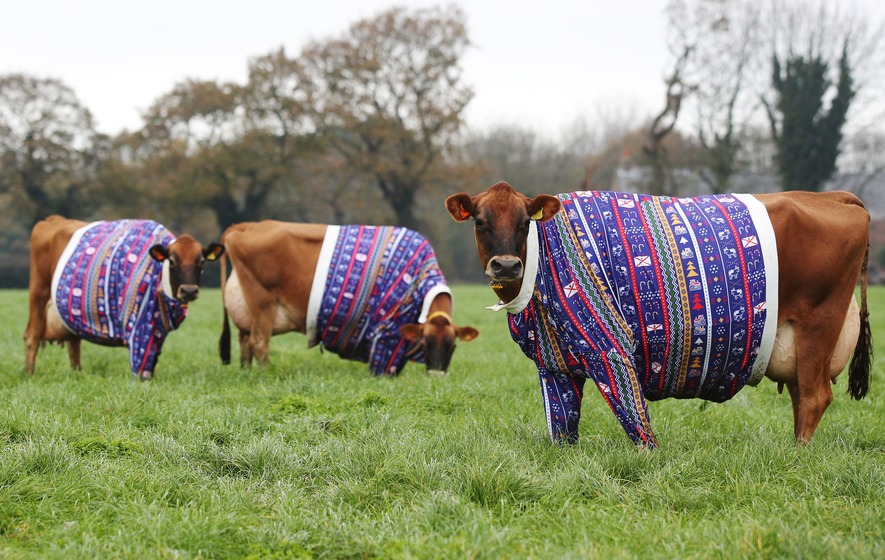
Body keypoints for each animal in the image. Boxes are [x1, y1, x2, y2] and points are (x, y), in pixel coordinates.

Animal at [24, 216, 225, 380]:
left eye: (202, 262)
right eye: (172, 262)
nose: (189, 291)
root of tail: (53, 219)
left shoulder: (158, 329)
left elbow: (153, 358)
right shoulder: (138, 324)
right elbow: (140, 362)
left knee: (74, 343)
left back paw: (77, 374)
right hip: (38, 293)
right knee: (32, 336)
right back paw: (29, 375)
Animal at [218, 221, 479, 376]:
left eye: (452, 346)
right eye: (424, 344)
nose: (436, 376)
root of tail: (245, 226)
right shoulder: (386, 332)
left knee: (245, 342)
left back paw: (246, 372)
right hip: (262, 303)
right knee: (259, 343)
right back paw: (265, 373)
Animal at [445, 182, 871, 447]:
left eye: (524, 222)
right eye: (480, 222)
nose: (505, 266)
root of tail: (835, 197)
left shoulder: (611, 345)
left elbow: (636, 419)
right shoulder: (553, 364)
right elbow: (562, 429)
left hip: (819, 322)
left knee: (814, 396)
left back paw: (797, 457)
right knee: (802, 395)